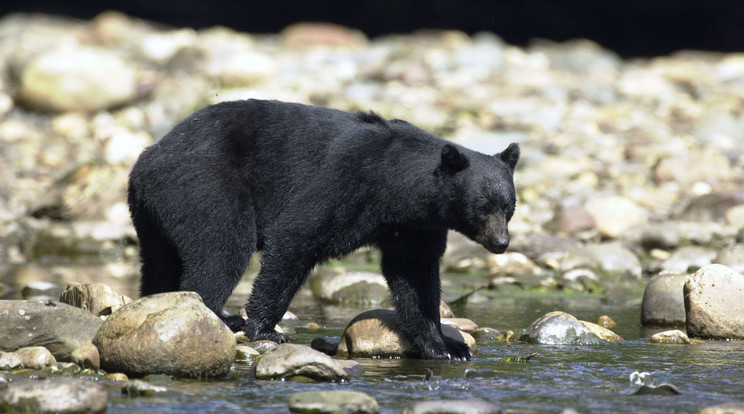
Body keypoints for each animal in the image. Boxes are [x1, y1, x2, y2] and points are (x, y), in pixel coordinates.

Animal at [128, 99, 516, 360]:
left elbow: (415, 278)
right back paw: (219, 315)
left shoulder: (415, 226)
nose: (501, 242)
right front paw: (264, 328)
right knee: (223, 247)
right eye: (481, 207)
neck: (398, 186)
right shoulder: (346, 181)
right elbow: (297, 236)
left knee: (161, 263)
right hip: (205, 185)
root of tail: (148, 159)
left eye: (508, 207)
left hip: (154, 215)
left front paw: (445, 346)